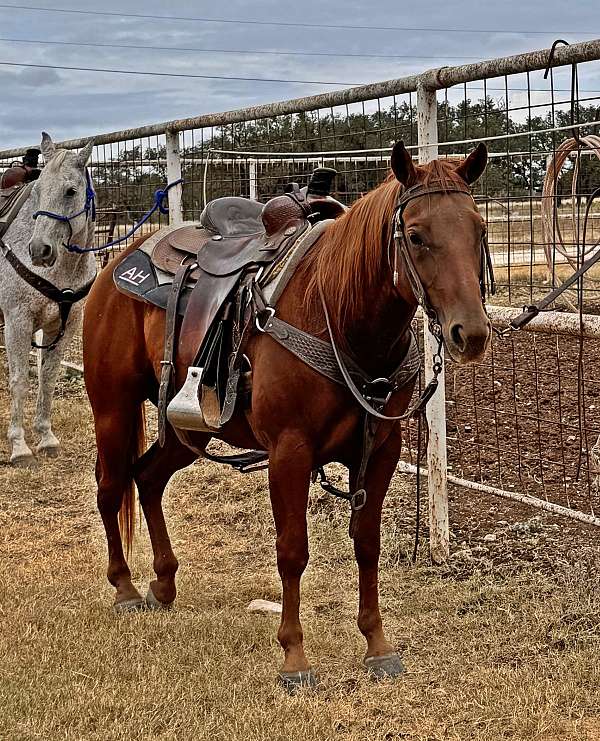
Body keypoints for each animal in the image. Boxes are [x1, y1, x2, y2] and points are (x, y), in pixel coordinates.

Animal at [0, 133, 96, 466]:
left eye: (71, 191)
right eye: (38, 191)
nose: (39, 251)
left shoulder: (64, 325)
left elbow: (48, 377)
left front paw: (45, 438)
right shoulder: (17, 321)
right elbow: (19, 380)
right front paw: (19, 446)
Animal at [82, 143, 490, 688]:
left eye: (478, 229)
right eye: (417, 234)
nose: (471, 333)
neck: (337, 311)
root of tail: (116, 267)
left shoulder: (381, 449)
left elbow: (367, 543)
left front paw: (377, 646)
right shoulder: (289, 451)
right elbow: (292, 550)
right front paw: (294, 657)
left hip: (187, 430)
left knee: (147, 478)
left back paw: (163, 584)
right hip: (113, 407)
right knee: (112, 486)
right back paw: (125, 587)